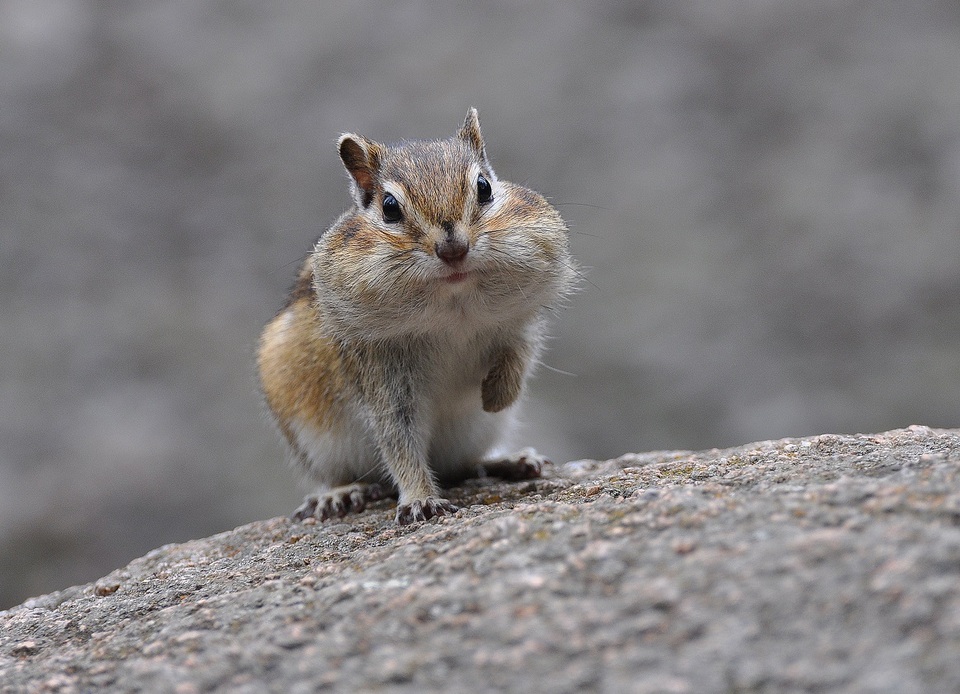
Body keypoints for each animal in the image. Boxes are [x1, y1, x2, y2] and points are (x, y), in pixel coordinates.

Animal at [255, 109, 572, 524]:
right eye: (390, 207)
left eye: (484, 187)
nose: (453, 249)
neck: (453, 307)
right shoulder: (381, 368)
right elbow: (398, 439)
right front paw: (421, 498)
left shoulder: (520, 319)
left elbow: (519, 357)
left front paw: (495, 395)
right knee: (342, 475)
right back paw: (340, 493)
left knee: (465, 466)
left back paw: (510, 461)